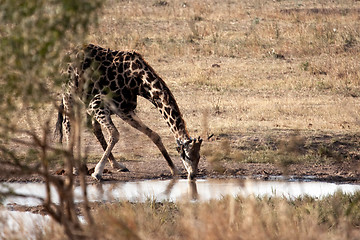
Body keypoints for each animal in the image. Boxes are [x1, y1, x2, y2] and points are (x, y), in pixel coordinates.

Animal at [56, 44, 202, 181]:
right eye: (187, 156)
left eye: (199, 156)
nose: (193, 175)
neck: (138, 81)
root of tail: (64, 56)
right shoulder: (97, 104)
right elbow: (115, 134)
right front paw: (97, 172)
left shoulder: (124, 109)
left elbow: (154, 135)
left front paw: (174, 170)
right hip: (69, 94)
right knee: (68, 124)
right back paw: (75, 168)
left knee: (86, 126)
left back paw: (112, 165)